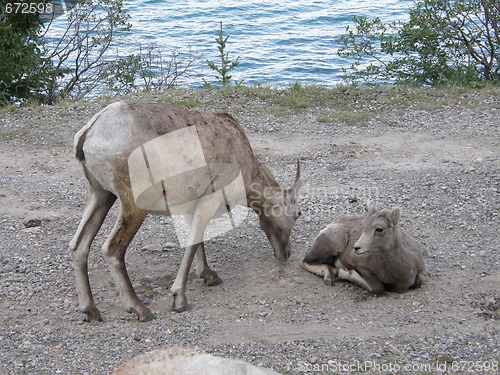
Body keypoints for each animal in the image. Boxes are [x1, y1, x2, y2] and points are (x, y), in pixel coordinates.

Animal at [69, 101, 304, 322]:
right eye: (296, 214)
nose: (286, 254)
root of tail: (87, 135)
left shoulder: (192, 205)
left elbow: (197, 240)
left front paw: (209, 276)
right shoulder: (210, 199)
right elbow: (192, 242)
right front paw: (179, 299)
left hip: (100, 194)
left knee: (78, 245)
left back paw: (91, 311)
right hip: (135, 203)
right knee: (112, 249)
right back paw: (140, 309)